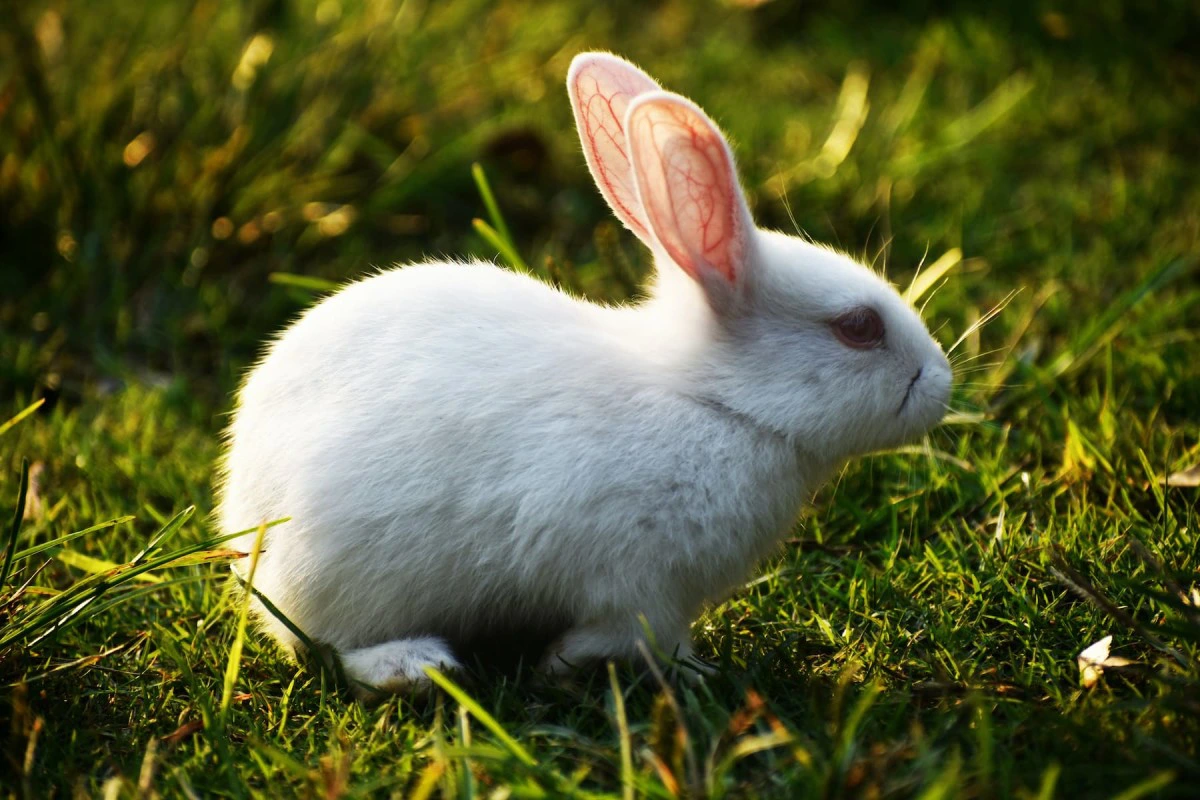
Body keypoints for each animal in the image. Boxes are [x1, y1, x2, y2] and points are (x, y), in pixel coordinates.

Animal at [217, 52, 953, 698]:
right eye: (859, 326)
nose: (942, 381)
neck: (714, 402)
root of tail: (243, 514)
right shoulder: (642, 587)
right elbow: (639, 637)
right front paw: (654, 671)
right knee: (322, 644)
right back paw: (414, 667)